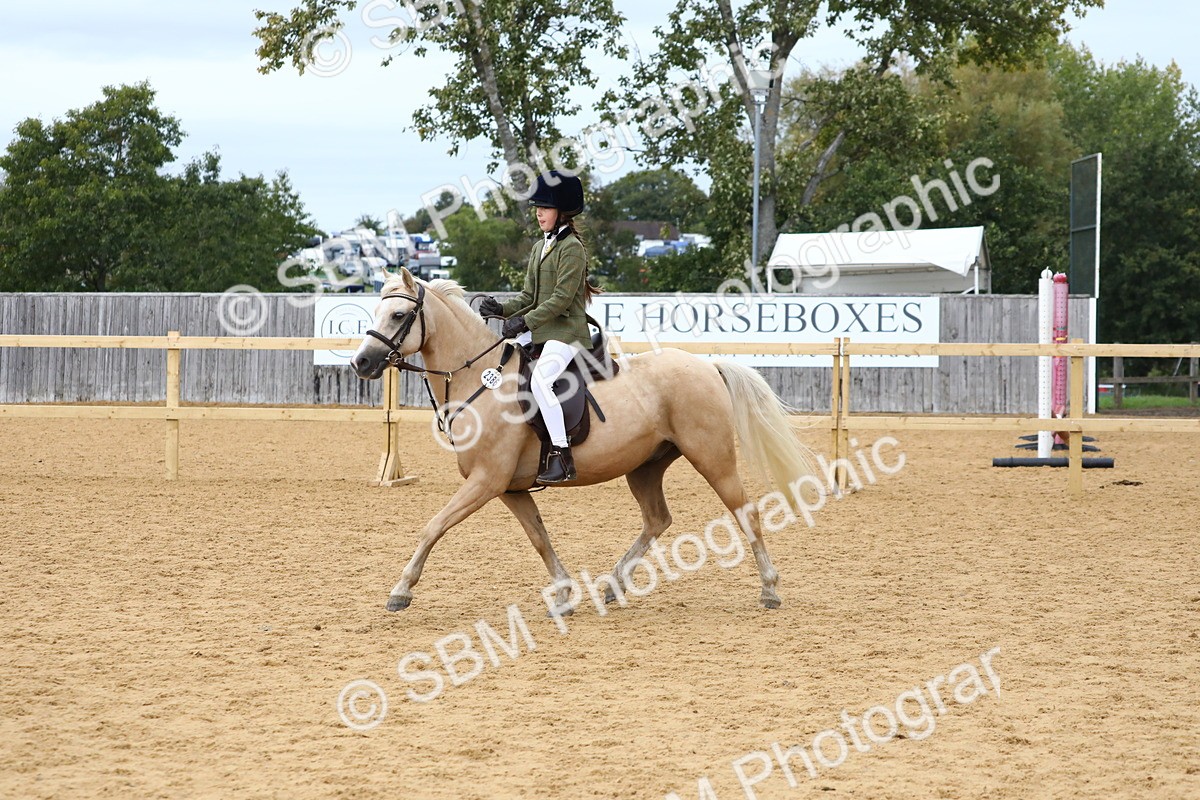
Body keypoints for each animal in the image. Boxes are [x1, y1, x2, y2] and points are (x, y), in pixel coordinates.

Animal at [351, 269, 817, 613]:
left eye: (398, 316)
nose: (362, 363)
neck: (481, 380)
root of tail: (707, 366)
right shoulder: (509, 489)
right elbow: (539, 538)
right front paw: (562, 592)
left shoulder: (486, 481)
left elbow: (434, 526)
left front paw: (401, 590)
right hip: (645, 466)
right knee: (657, 519)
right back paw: (613, 585)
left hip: (712, 458)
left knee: (745, 512)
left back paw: (770, 589)